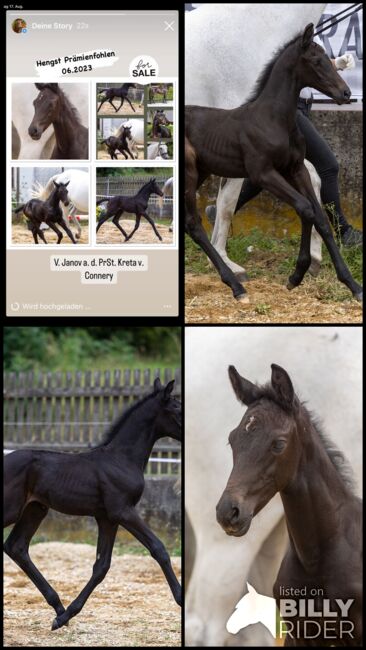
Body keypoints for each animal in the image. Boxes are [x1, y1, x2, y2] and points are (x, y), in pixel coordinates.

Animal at [4, 374, 182, 628]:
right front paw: (181, 599)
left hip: (35, 509)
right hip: (13, 509)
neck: (121, 458)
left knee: (16, 547)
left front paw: (65, 616)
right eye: (177, 408)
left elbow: (101, 566)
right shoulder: (123, 511)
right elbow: (159, 549)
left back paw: (58, 606)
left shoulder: (107, 518)